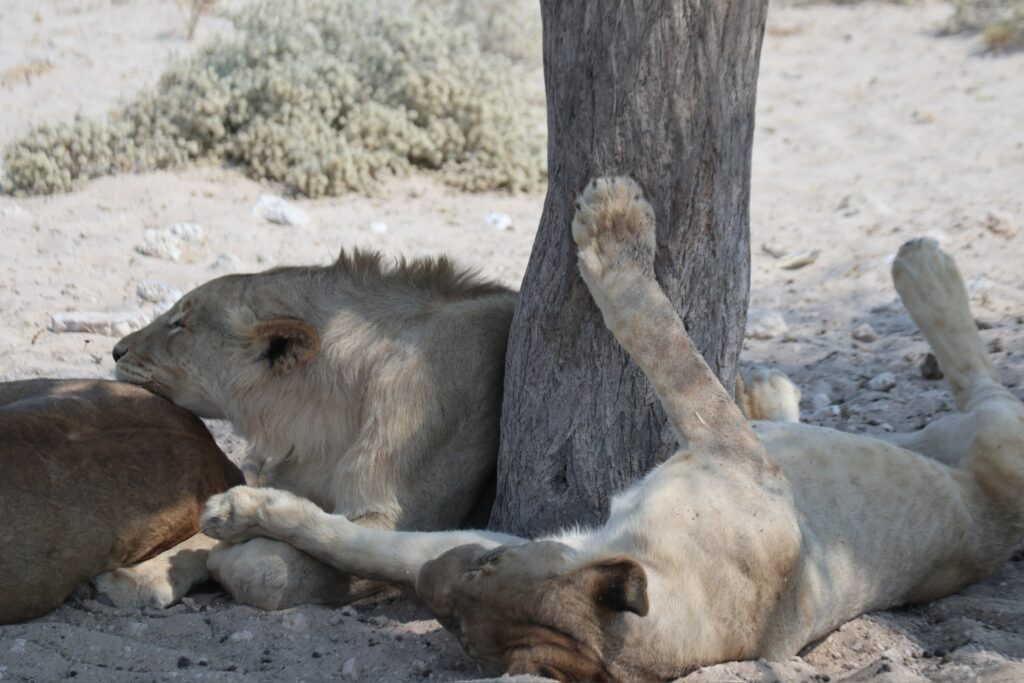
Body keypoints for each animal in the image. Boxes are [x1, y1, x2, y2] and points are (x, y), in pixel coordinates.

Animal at [110, 250, 520, 610]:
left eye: (179, 324)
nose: (115, 351)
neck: (322, 413)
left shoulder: (402, 515)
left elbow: (270, 568)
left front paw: (227, 551)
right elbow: (200, 531)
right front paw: (139, 576)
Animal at [199, 178, 1024, 683]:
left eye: (488, 573)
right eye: (454, 619)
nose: (442, 575)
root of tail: (996, 522)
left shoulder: (730, 452)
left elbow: (662, 339)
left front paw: (614, 223)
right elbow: (362, 542)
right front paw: (244, 510)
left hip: (997, 437)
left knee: (984, 383)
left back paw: (925, 266)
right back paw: (775, 386)